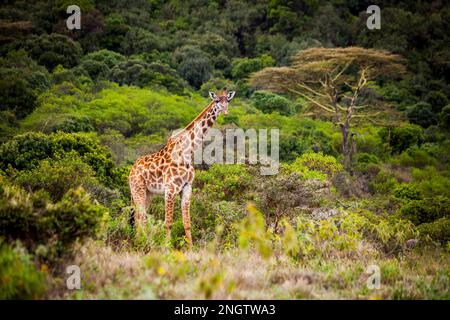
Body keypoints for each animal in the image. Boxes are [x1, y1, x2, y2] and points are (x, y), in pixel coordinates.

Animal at [128, 89, 237, 249]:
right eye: (216, 100)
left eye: (227, 100)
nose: (225, 110)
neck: (187, 151)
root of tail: (131, 170)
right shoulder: (170, 188)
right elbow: (168, 223)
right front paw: (167, 248)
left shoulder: (187, 187)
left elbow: (187, 223)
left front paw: (191, 248)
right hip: (138, 189)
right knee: (141, 217)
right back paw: (142, 245)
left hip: (148, 193)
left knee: (138, 217)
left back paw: (140, 243)